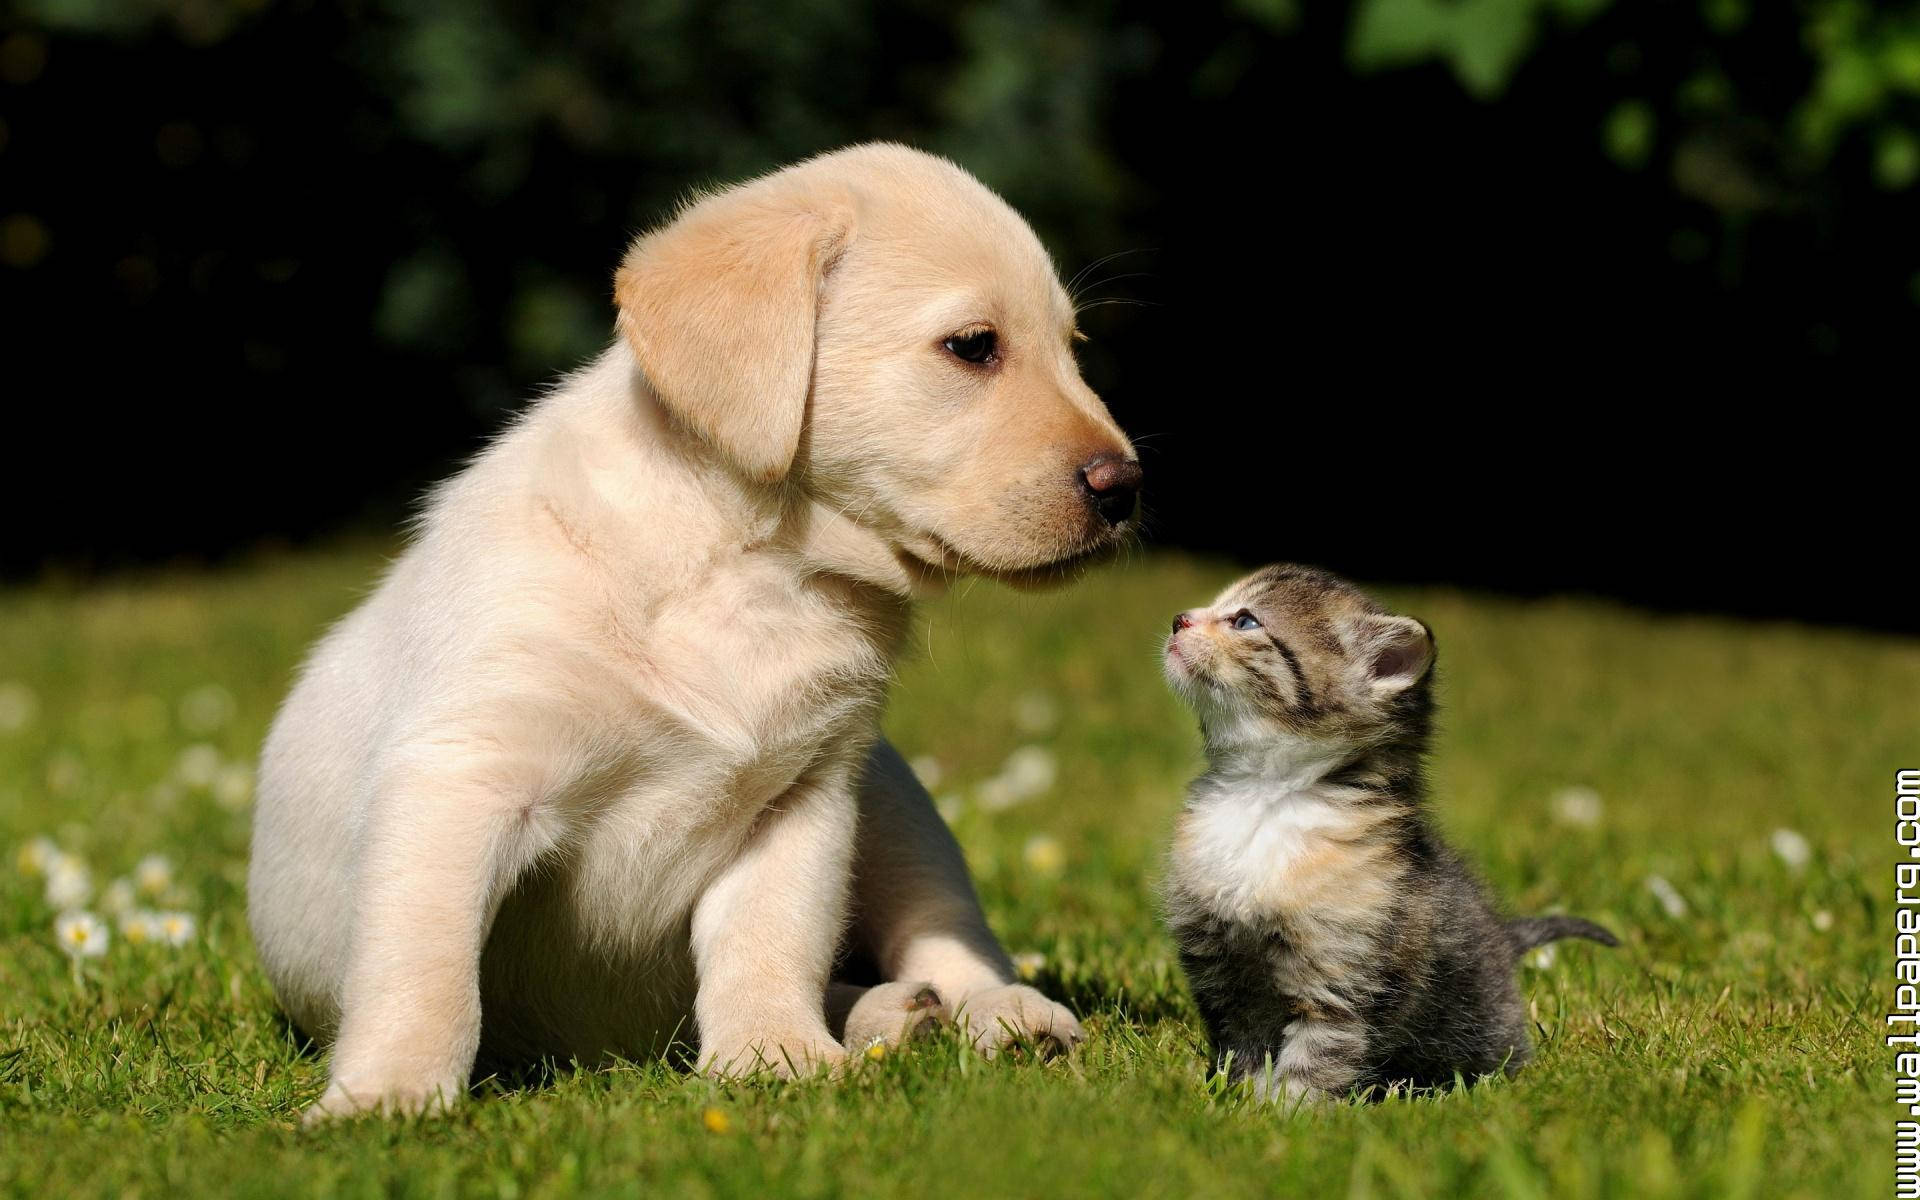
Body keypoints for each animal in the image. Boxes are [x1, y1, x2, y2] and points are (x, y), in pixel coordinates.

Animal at [243, 144, 1136, 1121]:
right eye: (974, 346)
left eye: (1074, 350)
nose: (1126, 487)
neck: (753, 569)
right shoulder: (460, 779)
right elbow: (425, 970)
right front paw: (388, 1097)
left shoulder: (803, 799)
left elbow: (769, 941)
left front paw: (775, 1057)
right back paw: (894, 1017)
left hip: (897, 805)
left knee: (946, 932)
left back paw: (988, 1014)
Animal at [1152, 564, 1620, 1098]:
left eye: (1245, 621)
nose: (1179, 618)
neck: (1263, 798)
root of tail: (1503, 938)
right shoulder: (1221, 967)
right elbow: (1242, 1045)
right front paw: (1236, 1098)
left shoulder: (1344, 976)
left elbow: (1317, 1056)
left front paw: (1286, 1110)